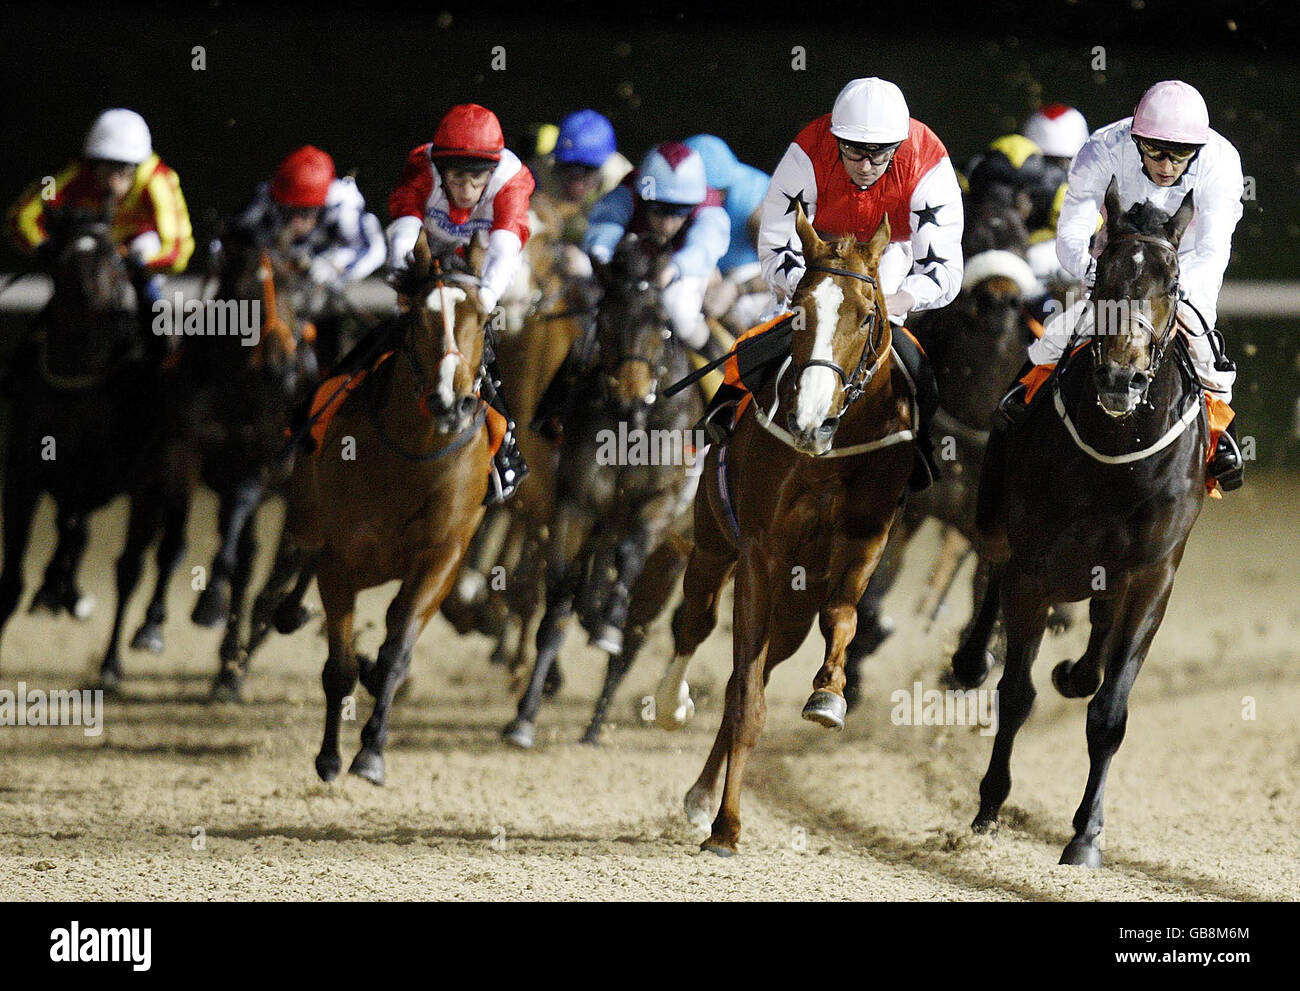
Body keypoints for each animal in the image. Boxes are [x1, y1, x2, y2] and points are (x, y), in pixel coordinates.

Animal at [0, 208, 188, 681]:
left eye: (116, 261)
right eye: (62, 260)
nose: (91, 302)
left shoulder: (119, 478)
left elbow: (122, 562)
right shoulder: (25, 476)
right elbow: (14, 576)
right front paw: (55, 590)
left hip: (171, 480)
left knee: (158, 556)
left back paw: (136, 639)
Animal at [282, 231, 488, 780]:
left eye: (484, 318)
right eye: (417, 318)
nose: (450, 401)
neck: (411, 457)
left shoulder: (441, 557)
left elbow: (396, 651)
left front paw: (371, 751)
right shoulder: (340, 558)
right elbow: (340, 667)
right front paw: (330, 756)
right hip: (310, 517)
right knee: (301, 554)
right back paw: (287, 608)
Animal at [499, 235, 707, 743]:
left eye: (660, 322)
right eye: (606, 319)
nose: (628, 394)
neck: (634, 426)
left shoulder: (661, 504)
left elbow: (629, 556)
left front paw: (607, 627)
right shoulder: (576, 507)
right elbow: (556, 604)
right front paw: (523, 718)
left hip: (673, 555)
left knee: (635, 634)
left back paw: (598, 720)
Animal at [650, 210, 915, 858]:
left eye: (867, 314)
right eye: (798, 308)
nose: (810, 419)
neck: (829, 451)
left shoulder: (864, 541)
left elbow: (842, 617)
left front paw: (829, 695)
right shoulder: (759, 552)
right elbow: (745, 696)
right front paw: (726, 827)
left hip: (793, 604)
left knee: (766, 662)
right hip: (713, 541)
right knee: (697, 624)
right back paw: (673, 712)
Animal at [961, 179, 1201, 863]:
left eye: (1173, 280)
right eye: (1104, 276)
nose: (1122, 374)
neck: (1119, 454)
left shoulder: (1152, 575)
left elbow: (1109, 711)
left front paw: (1086, 834)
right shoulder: (1036, 566)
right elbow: (1016, 693)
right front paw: (990, 802)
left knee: (1097, 628)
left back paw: (1077, 671)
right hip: (999, 517)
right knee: (991, 567)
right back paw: (971, 659)